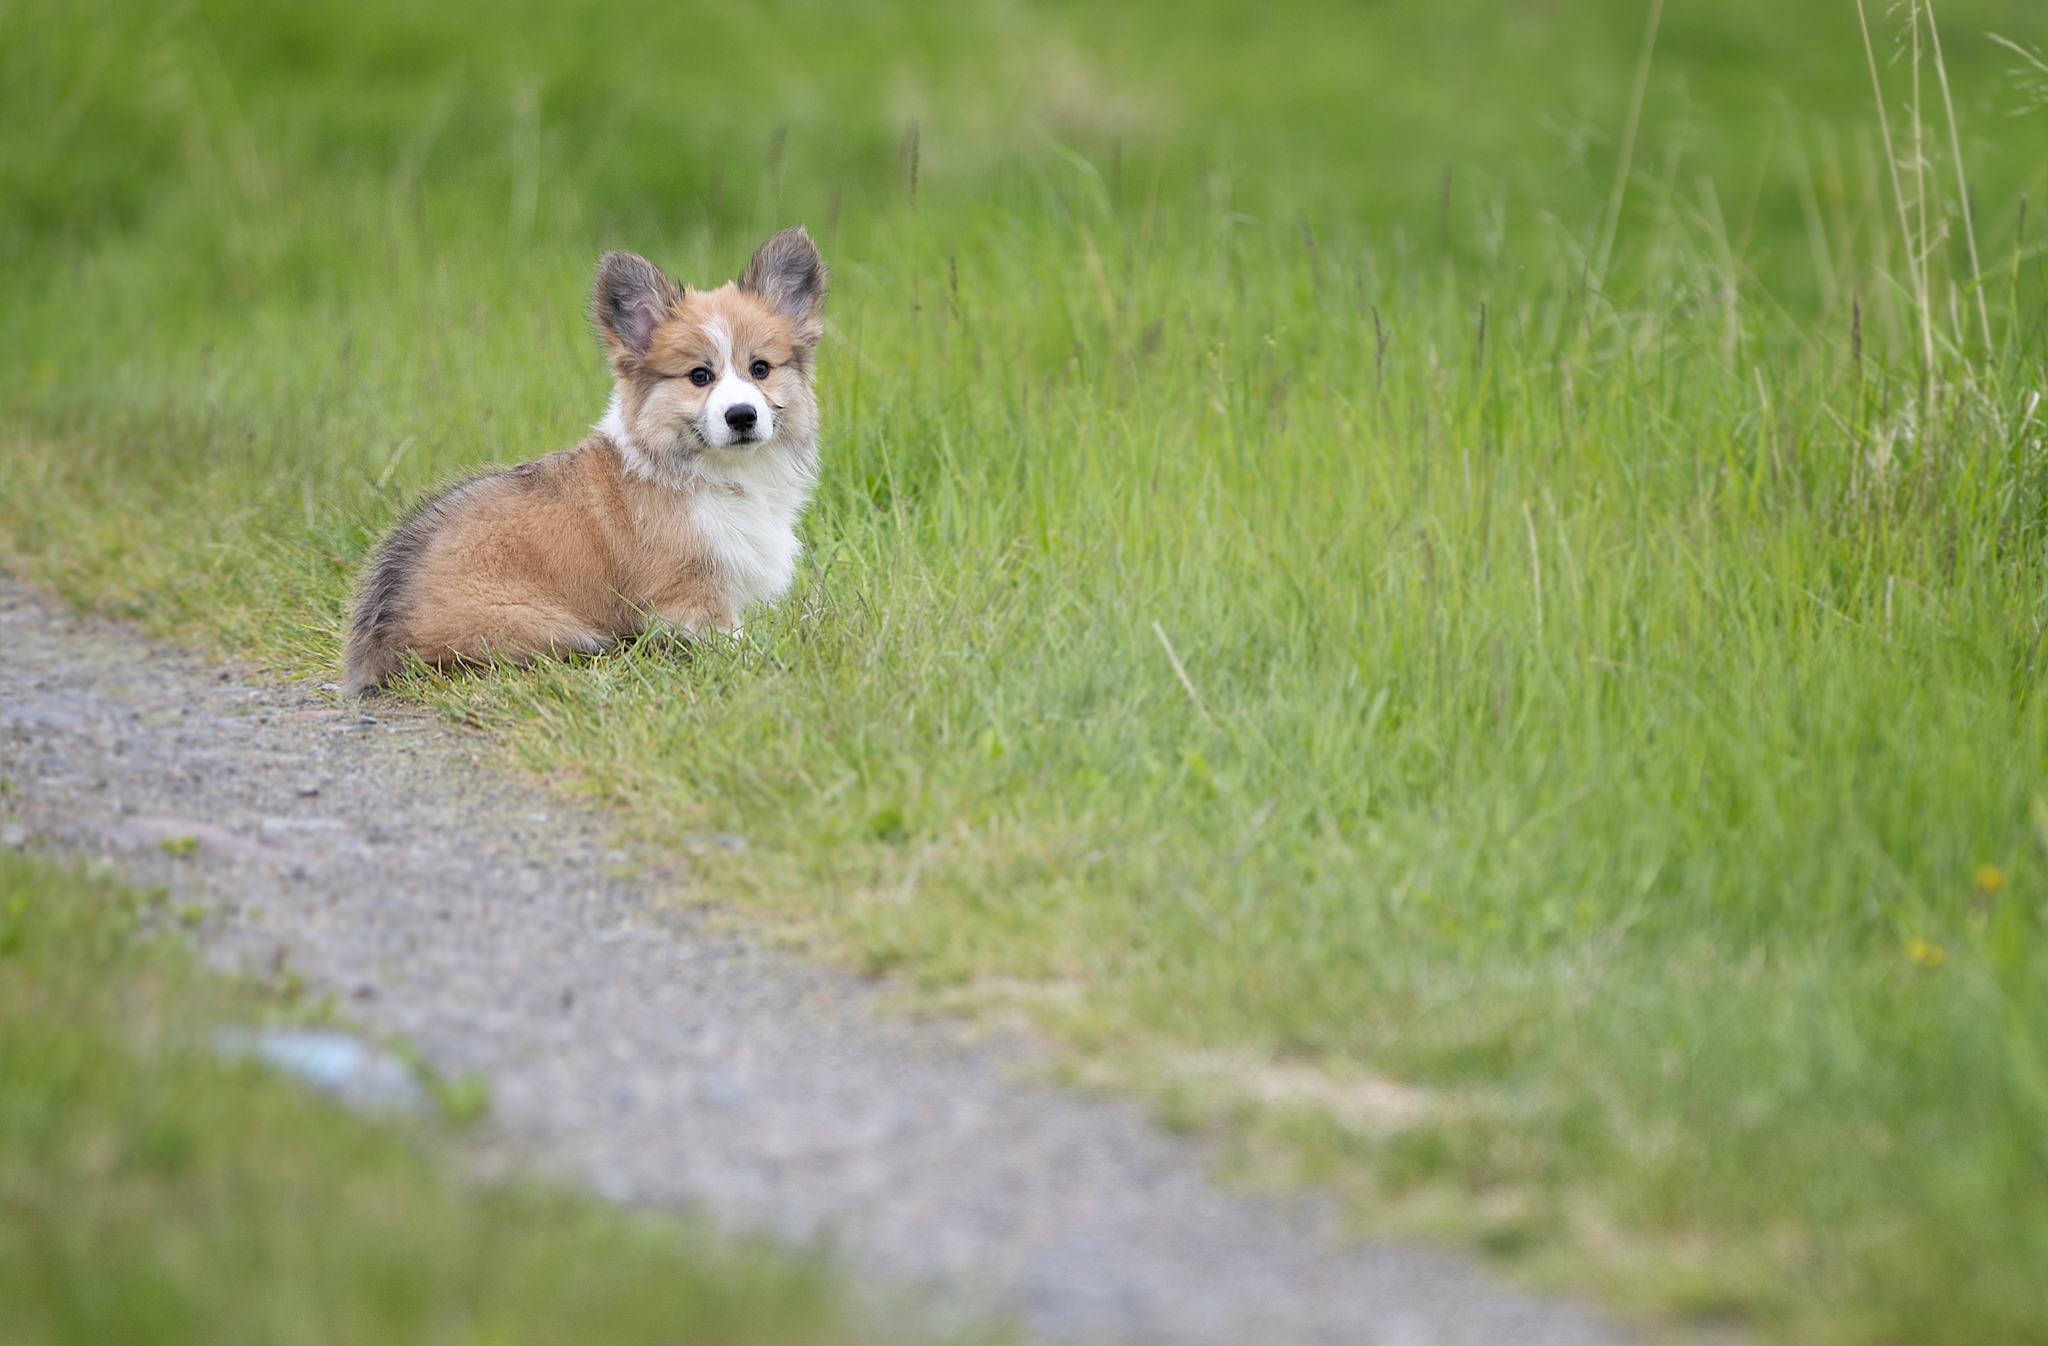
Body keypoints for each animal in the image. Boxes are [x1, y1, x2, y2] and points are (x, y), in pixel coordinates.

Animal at [344, 228, 823, 692]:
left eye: (760, 369)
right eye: (699, 376)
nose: (742, 416)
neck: (712, 470)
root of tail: (381, 644)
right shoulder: (690, 593)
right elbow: (728, 636)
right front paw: (756, 664)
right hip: (545, 628)